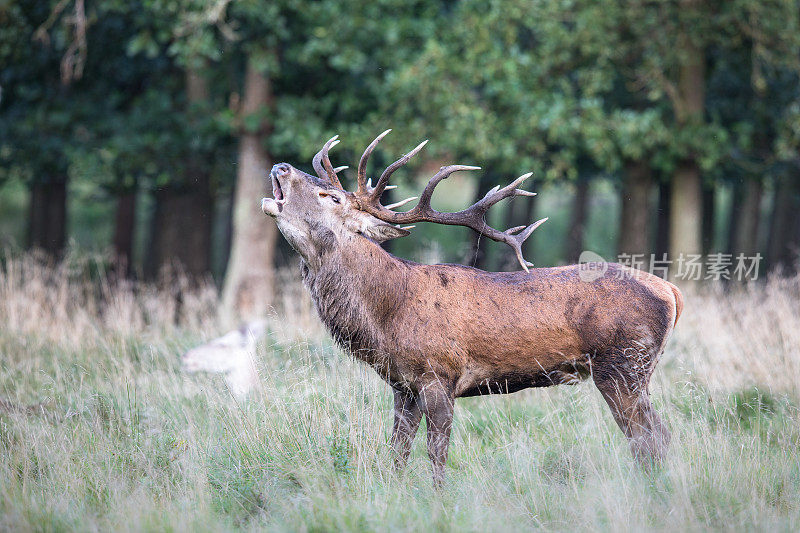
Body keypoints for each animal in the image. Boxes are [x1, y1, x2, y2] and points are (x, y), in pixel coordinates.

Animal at [260, 131, 680, 484]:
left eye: (331, 197)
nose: (280, 166)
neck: (387, 314)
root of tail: (671, 291)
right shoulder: (402, 385)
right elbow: (398, 451)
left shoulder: (439, 374)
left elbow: (436, 453)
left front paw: (438, 498)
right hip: (632, 370)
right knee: (655, 437)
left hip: (623, 365)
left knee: (651, 438)